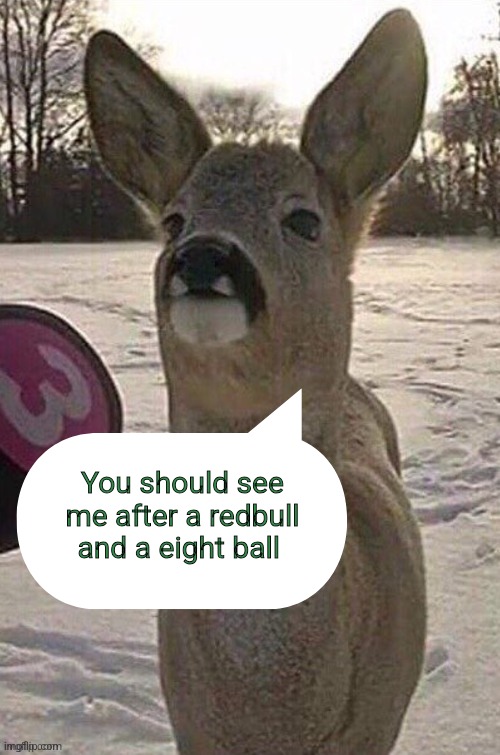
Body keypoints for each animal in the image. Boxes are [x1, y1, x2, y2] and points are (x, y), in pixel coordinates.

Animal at [84, 8, 427, 754]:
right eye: (174, 219)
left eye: (303, 219)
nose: (202, 255)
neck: (271, 717)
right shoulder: (189, 724)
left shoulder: (380, 723)